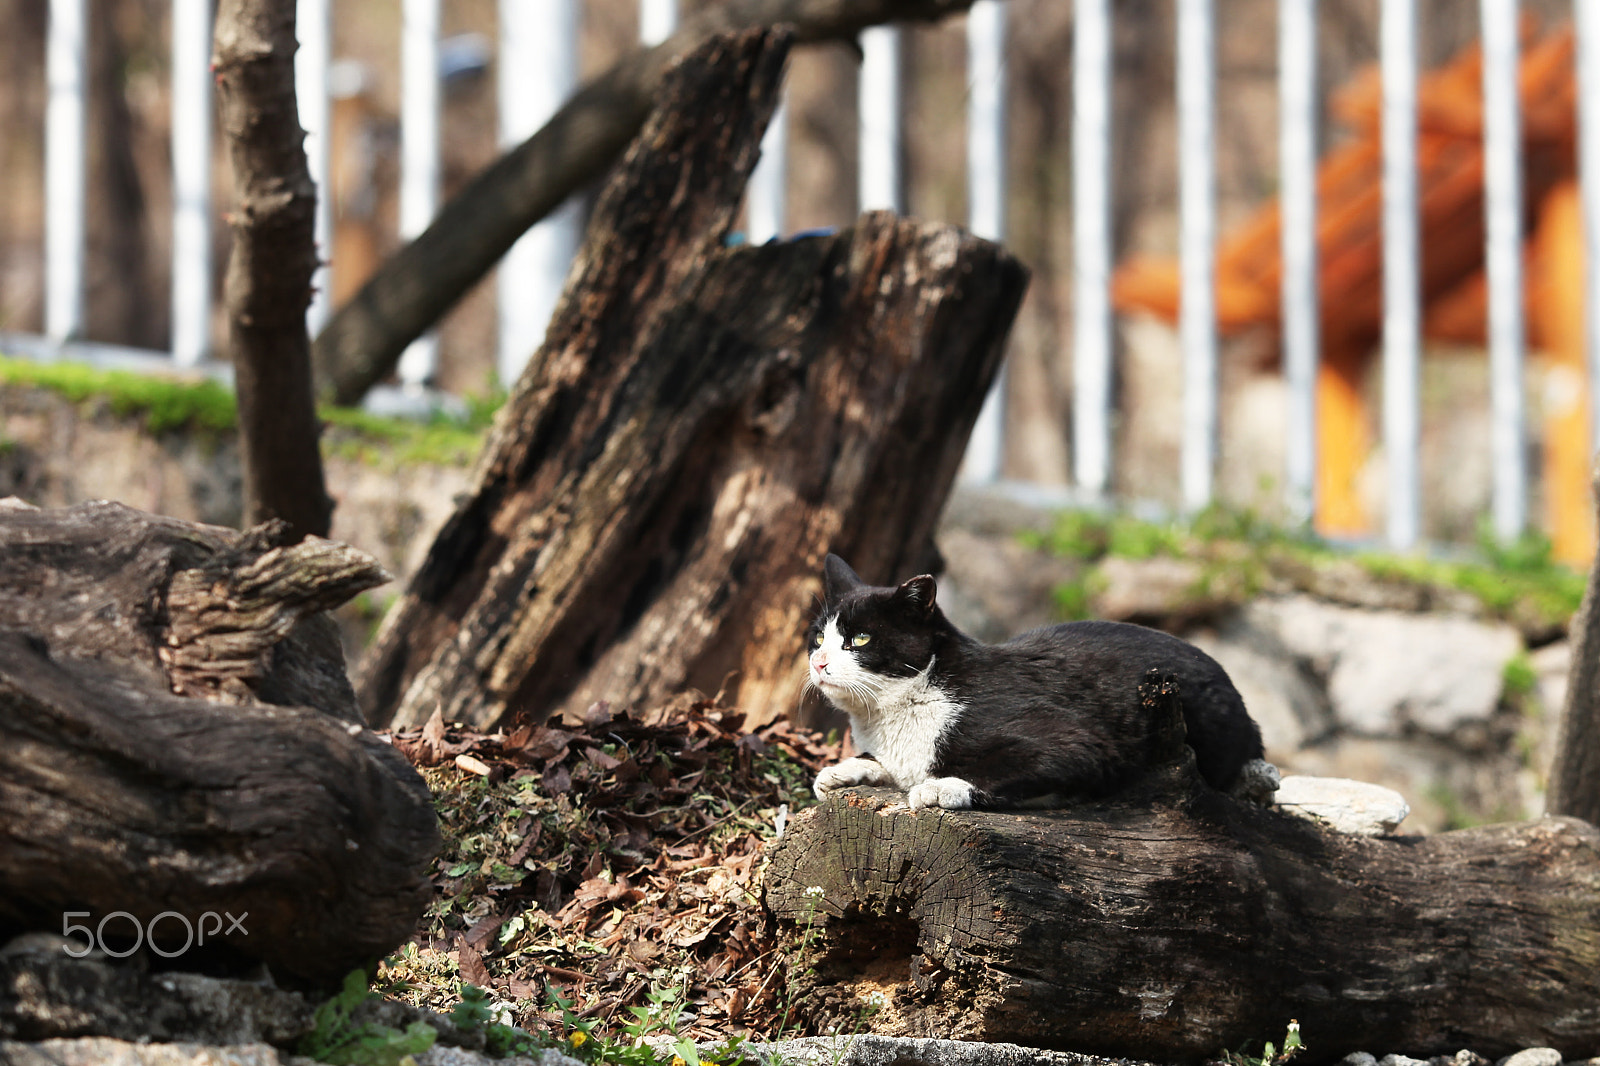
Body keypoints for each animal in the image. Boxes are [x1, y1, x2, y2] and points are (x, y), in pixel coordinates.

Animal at [806, 550, 1267, 809]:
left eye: (861, 638)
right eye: (818, 637)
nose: (819, 662)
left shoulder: (1079, 744)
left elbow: (1010, 767)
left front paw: (941, 787)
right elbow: (885, 764)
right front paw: (844, 769)